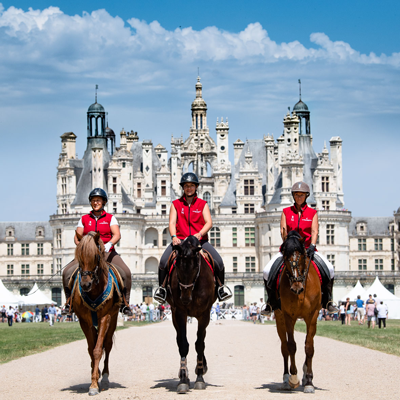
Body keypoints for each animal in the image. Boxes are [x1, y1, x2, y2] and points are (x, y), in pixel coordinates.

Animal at [71, 230, 122, 396]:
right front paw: (94, 377)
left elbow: (98, 349)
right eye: (78, 257)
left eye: (96, 256)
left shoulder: (105, 317)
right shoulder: (84, 320)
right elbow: (91, 348)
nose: (85, 284)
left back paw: (104, 377)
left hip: (113, 318)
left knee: (108, 344)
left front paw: (95, 384)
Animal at [165, 234, 217, 394]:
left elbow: (199, 344)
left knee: (202, 341)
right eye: (176, 266)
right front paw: (183, 380)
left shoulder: (204, 314)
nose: (185, 299)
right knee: (179, 340)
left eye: (196, 267)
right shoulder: (180, 312)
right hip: (174, 315)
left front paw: (200, 378)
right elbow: (183, 344)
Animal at [276, 231, 322, 394]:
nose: (297, 287)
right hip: (279, 319)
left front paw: (308, 381)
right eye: (285, 257)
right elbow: (291, 346)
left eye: (302, 256)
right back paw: (285, 379)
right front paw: (293, 378)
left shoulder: (312, 316)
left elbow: (309, 347)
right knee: (284, 347)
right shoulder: (288, 316)